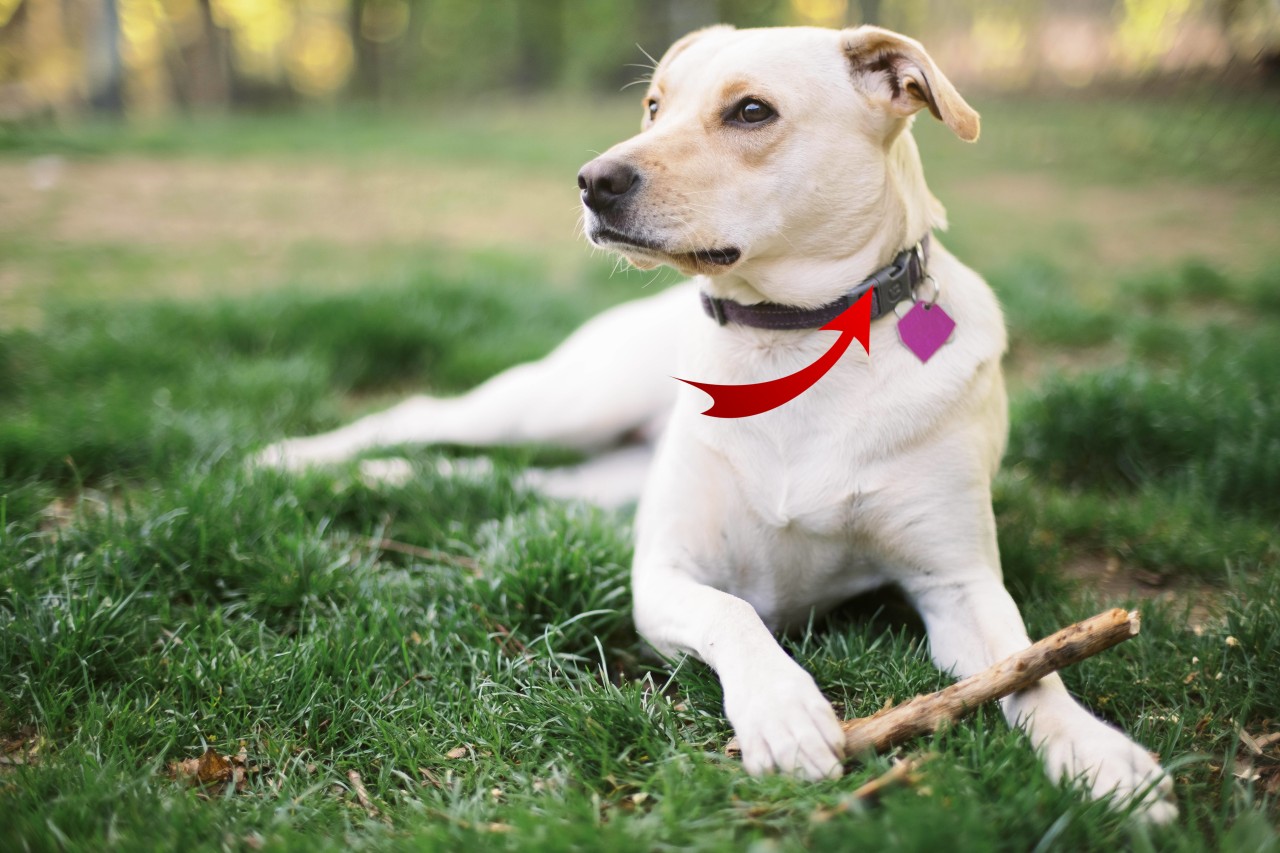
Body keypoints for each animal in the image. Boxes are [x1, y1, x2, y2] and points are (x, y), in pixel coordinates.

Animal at [259, 24, 1177, 819]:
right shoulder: (665, 574)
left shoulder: (958, 583)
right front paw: (784, 710)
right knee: (429, 414)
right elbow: (735, 615)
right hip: (566, 400)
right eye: (654, 106)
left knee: (488, 473)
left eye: (751, 112)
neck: (793, 340)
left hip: (591, 483)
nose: (593, 180)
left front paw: (1100, 755)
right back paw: (293, 458)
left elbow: (1031, 666)